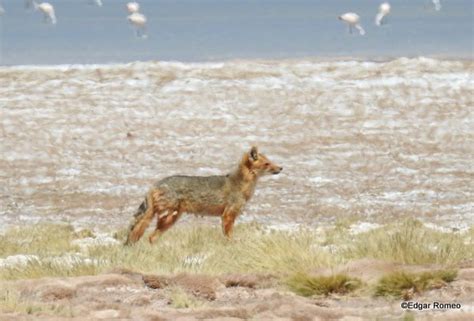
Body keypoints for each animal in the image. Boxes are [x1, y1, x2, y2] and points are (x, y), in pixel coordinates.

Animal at [124, 146, 284, 244]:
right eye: (267, 164)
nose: (281, 168)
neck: (240, 184)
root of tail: (155, 184)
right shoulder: (228, 216)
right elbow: (229, 236)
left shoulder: (227, 216)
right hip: (166, 217)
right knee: (143, 234)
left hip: (170, 219)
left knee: (150, 237)